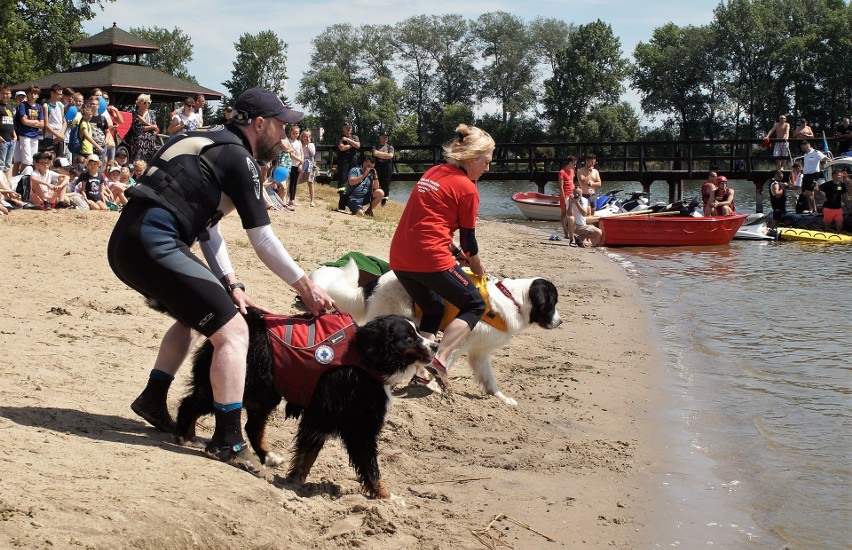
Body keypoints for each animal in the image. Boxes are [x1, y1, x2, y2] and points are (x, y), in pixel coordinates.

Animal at [176, 310, 436, 500]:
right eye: (409, 337)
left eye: (417, 332)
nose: (434, 346)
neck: (367, 360)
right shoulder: (357, 426)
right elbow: (370, 467)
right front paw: (387, 497)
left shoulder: (320, 418)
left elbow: (306, 455)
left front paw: (295, 481)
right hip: (233, 386)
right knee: (189, 404)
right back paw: (185, 436)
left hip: (264, 395)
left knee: (253, 426)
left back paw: (268, 456)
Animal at [310, 260, 564, 408]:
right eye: (552, 303)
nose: (560, 321)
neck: (515, 301)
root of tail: (377, 280)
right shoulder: (461, 342)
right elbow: (444, 362)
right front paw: (434, 386)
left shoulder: (480, 352)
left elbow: (488, 378)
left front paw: (500, 397)